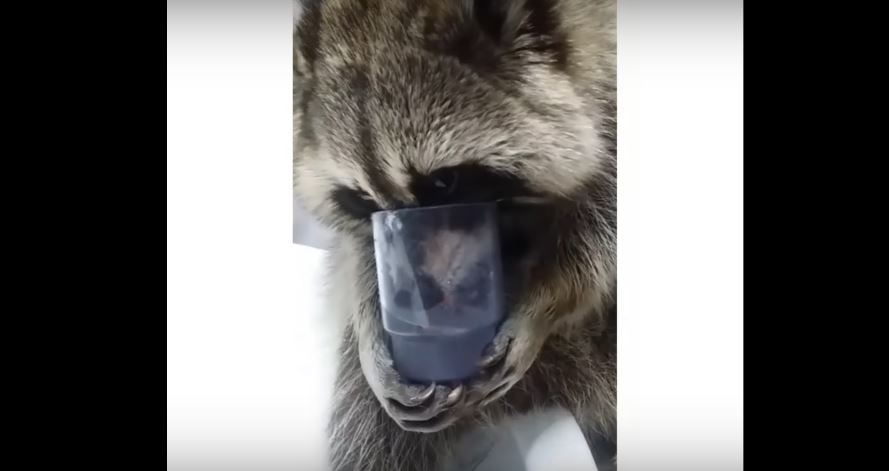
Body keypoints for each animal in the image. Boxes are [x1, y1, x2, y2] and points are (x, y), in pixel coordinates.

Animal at [294, 0, 612, 471]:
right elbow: (355, 248)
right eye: (364, 202)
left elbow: (603, 220)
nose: (418, 296)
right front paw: (370, 317)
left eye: (445, 184)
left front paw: (545, 302)